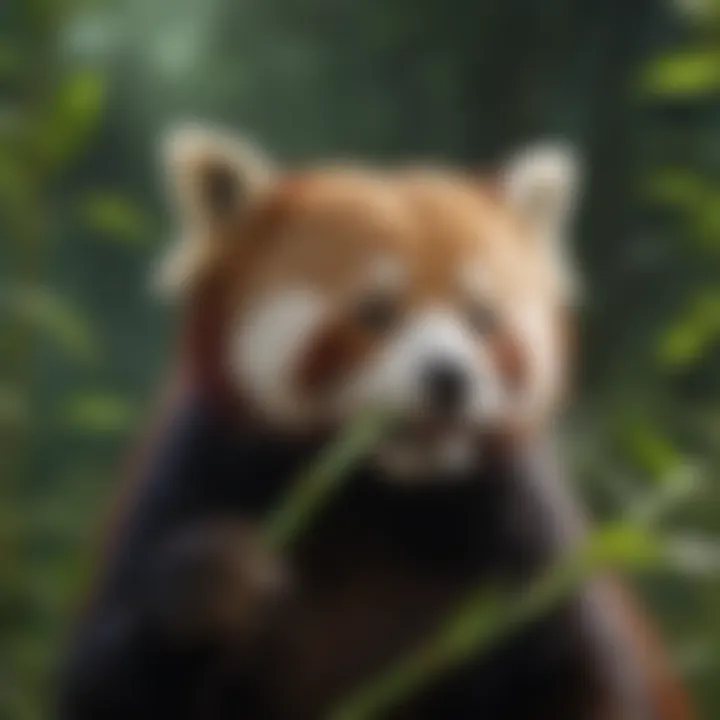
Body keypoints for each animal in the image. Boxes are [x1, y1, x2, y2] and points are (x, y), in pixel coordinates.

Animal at [57, 126, 692, 720]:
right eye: (377, 312)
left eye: (481, 318)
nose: (450, 377)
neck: (378, 497)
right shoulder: (197, 472)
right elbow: (103, 682)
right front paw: (213, 586)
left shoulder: (523, 526)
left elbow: (584, 675)